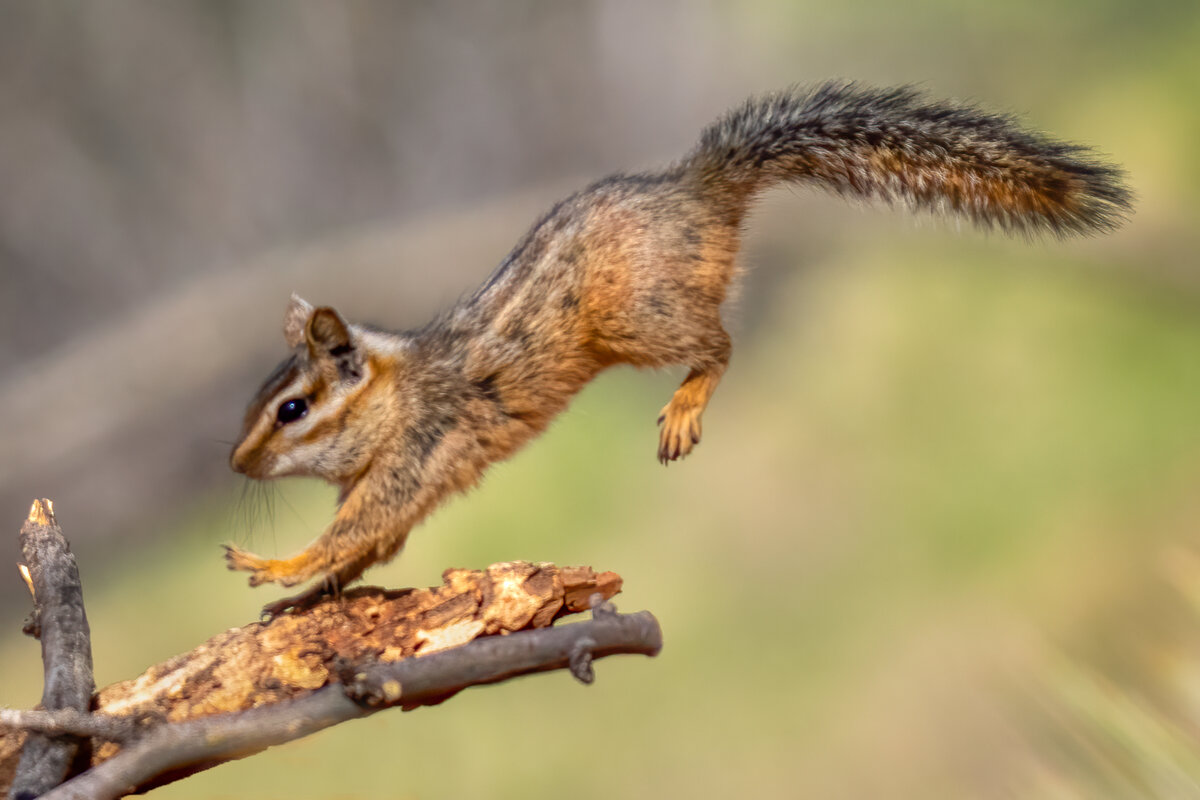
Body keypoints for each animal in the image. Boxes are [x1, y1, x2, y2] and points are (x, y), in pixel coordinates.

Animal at [225, 81, 1131, 613]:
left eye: (293, 408)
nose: (235, 464)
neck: (395, 395)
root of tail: (698, 189)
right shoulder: (396, 489)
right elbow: (367, 549)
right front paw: (298, 600)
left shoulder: (415, 454)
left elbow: (356, 531)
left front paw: (274, 564)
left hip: (639, 320)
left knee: (720, 343)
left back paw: (687, 404)